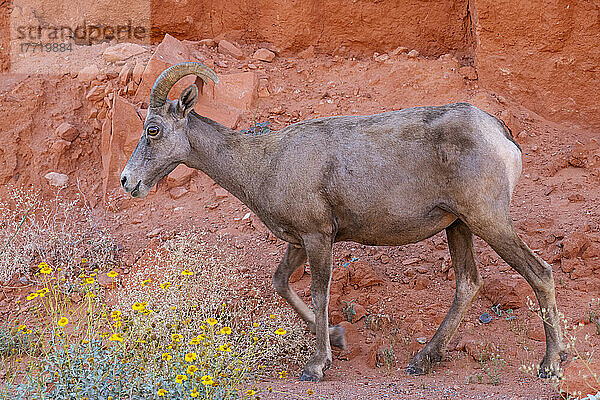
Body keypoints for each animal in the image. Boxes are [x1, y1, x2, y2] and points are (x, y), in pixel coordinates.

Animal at [120, 61, 568, 382]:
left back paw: (550, 364)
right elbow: (281, 283)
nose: (128, 182)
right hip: (458, 226)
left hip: (487, 219)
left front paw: (317, 365)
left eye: (153, 129)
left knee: (539, 272)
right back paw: (423, 359)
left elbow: (319, 294)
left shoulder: (318, 237)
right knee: (468, 284)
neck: (263, 163)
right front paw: (337, 337)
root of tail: (501, 134)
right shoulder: (299, 240)